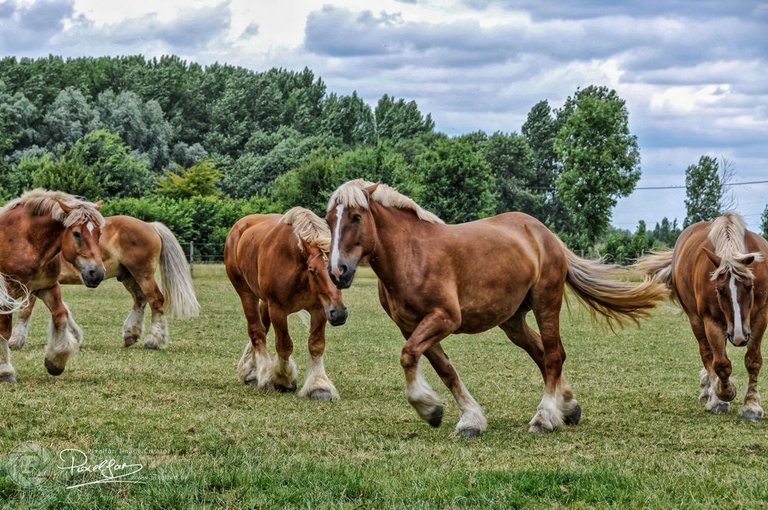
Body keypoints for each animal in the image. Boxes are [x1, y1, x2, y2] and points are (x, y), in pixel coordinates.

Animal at [0, 189, 105, 380]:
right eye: (77, 233)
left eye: (99, 234)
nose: (97, 273)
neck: (25, 240)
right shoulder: (7, 293)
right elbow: (4, 329)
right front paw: (5, 370)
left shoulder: (46, 287)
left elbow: (60, 315)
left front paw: (55, 361)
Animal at [9, 214, 200, 350]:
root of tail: (150, 225)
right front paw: (75, 335)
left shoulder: (34, 285)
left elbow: (25, 311)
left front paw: (15, 341)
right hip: (128, 276)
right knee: (140, 299)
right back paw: (130, 334)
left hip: (143, 274)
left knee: (156, 300)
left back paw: (154, 341)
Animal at [225, 206, 348, 398]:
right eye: (312, 271)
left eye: (341, 269)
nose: (339, 313)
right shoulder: (278, 309)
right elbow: (284, 345)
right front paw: (282, 379)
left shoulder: (320, 309)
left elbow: (316, 344)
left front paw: (319, 385)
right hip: (246, 293)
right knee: (257, 331)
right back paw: (262, 374)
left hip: (264, 301)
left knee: (262, 327)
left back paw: (251, 370)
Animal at [324, 179, 664, 434]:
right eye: (329, 220)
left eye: (356, 217)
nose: (337, 271)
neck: (411, 254)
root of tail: (544, 233)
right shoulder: (411, 326)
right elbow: (443, 369)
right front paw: (464, 417)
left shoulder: (444, 318)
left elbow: (409, 355)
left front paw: (429, 407)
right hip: (512, 320)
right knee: (542, 353)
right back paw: (568, 407)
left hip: (546, 303)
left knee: (554, 355)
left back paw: (544, 417)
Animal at [636, 212, 768, 422]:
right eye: (720, 290)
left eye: (749, 286)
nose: (739, 337)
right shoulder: (711, 321)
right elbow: (720, 364)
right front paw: (722, 395)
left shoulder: (761, 317)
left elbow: (753, 360)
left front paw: (751, 406)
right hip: (697, 321)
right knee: (708, 354)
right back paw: (710, 392)